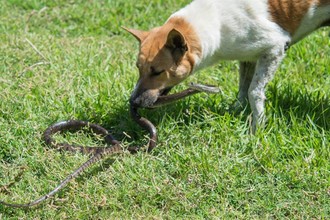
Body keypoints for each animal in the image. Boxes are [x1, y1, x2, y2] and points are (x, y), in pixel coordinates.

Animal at [125, 0, 328, 132]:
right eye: (138, 68)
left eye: (158, 72)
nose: (133, 102)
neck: (215, 22)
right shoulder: (248, 56)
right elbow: (243, 88)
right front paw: (235, 111)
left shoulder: (275, 47)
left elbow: (254, 91)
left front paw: (257, 129)